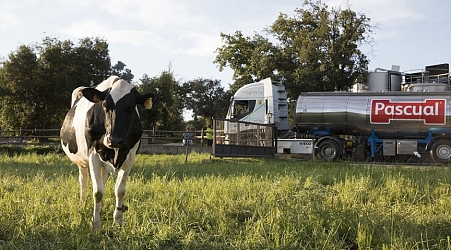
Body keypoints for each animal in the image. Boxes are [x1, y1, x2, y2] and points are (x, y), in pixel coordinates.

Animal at [61, 75, 157, 229]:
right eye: (105, 106)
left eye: (131, 108)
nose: (114, 140)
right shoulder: (93, 155)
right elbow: (97, 192)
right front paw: (95, 224)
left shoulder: (130, 157)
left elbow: (120, 190)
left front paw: (117, 221)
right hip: (82, 161)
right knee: (84, 181)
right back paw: (81, 206)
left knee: (102, 179)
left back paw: (101, 206)